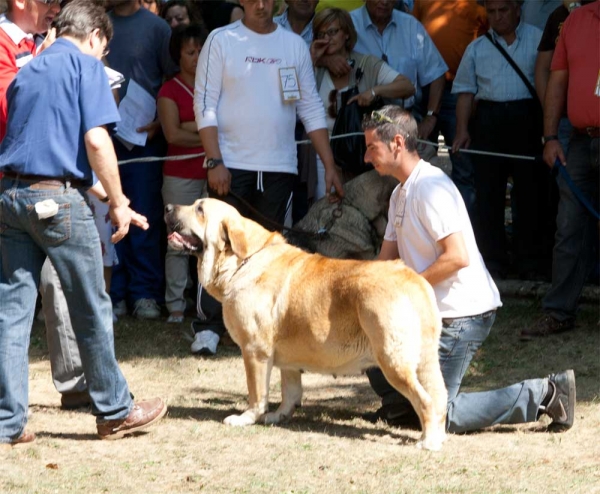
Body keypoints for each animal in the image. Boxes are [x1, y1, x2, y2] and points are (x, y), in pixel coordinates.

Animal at [164, 199, 446, 450]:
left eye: (200, 209)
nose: (166, 207)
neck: (242, 261)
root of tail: (411, 278)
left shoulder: (254, 352)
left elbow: (257, 394)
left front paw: (247, 417)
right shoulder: (287, 360)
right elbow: (289, 390)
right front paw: (279, 415)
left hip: (393, 362)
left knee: (425, 401)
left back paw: (428, 442)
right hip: (426, 362)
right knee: (439, 398)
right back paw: (437, 435)